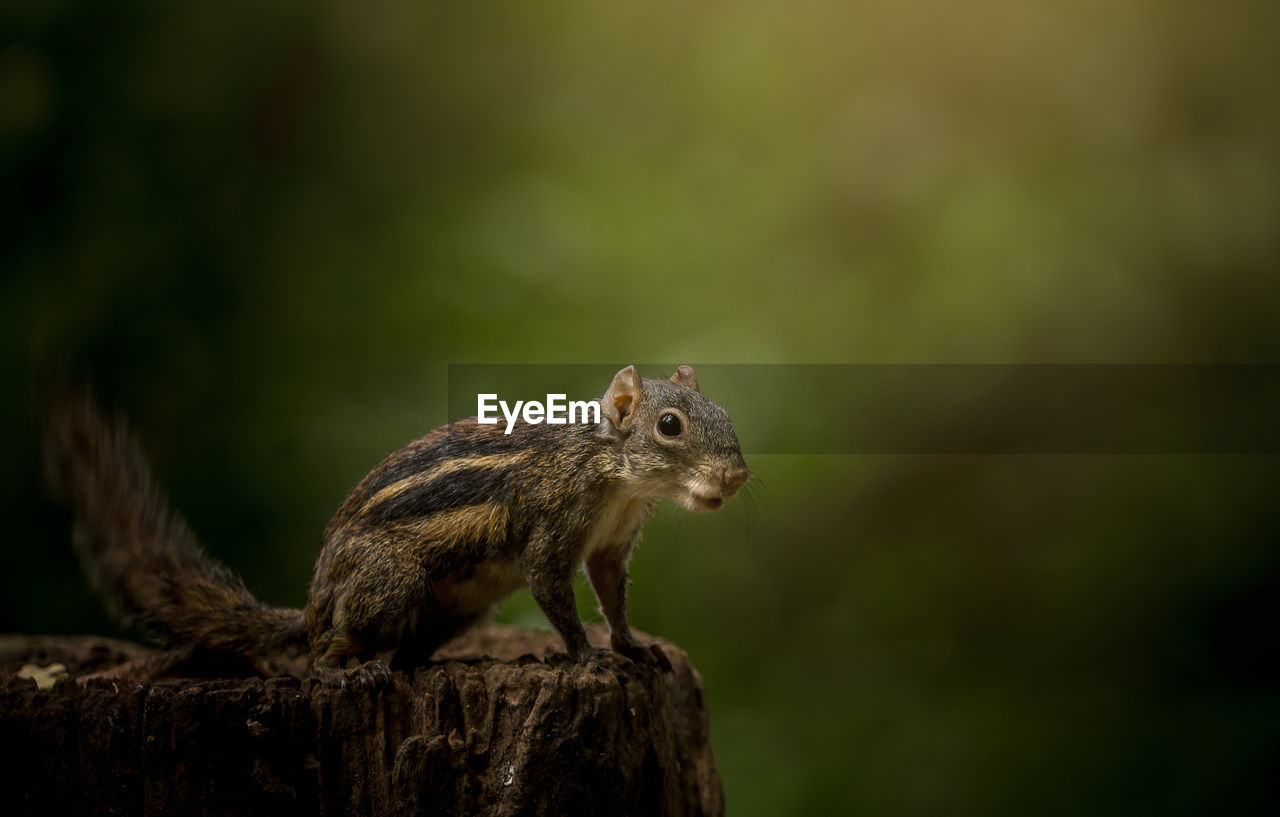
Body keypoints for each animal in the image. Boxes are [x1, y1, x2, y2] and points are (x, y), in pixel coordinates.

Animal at [45, 363, 747, 686]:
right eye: (670, 426)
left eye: (721, 409)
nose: (738, 476)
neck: (622, 484)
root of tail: (313, 602)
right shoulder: (552, 522)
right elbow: (553, 588)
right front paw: (587, 657)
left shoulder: (611, 545)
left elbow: (612, 597)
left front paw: (631, 646)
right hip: (390, 581)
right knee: (326, 650)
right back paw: (342, 670)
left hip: (458, 608)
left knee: (408, 646)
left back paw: (418, 666)